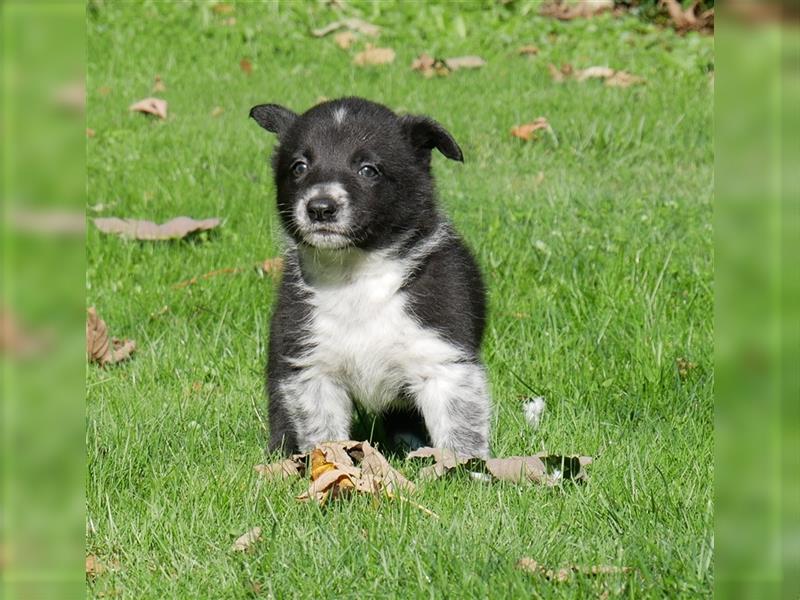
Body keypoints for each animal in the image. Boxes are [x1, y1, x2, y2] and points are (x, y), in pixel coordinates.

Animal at [250, 97, 490, 454]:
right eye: (299, 167)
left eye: (368, 169)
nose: (320, 208)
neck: (356, 276)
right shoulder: (312, 363)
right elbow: (324, 435)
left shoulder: (440, 356)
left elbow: (459, 429)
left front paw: (463, 465)